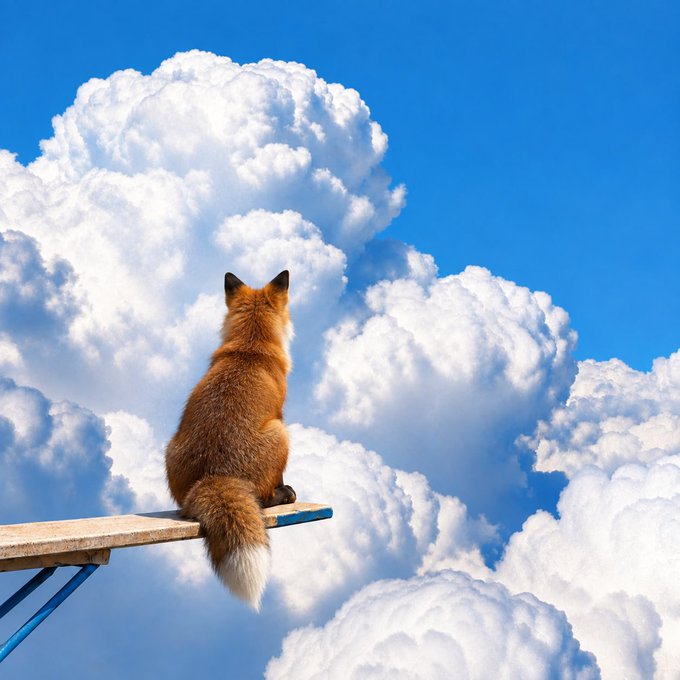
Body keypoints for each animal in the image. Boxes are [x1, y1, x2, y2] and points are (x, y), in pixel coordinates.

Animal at [165, 270, 296, 611]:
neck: (249, 346)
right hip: (282, 434)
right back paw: (281, 496)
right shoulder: (280, 415)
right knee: (262, 498)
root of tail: (214, 476)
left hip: (170, 447)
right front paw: (285, 490)